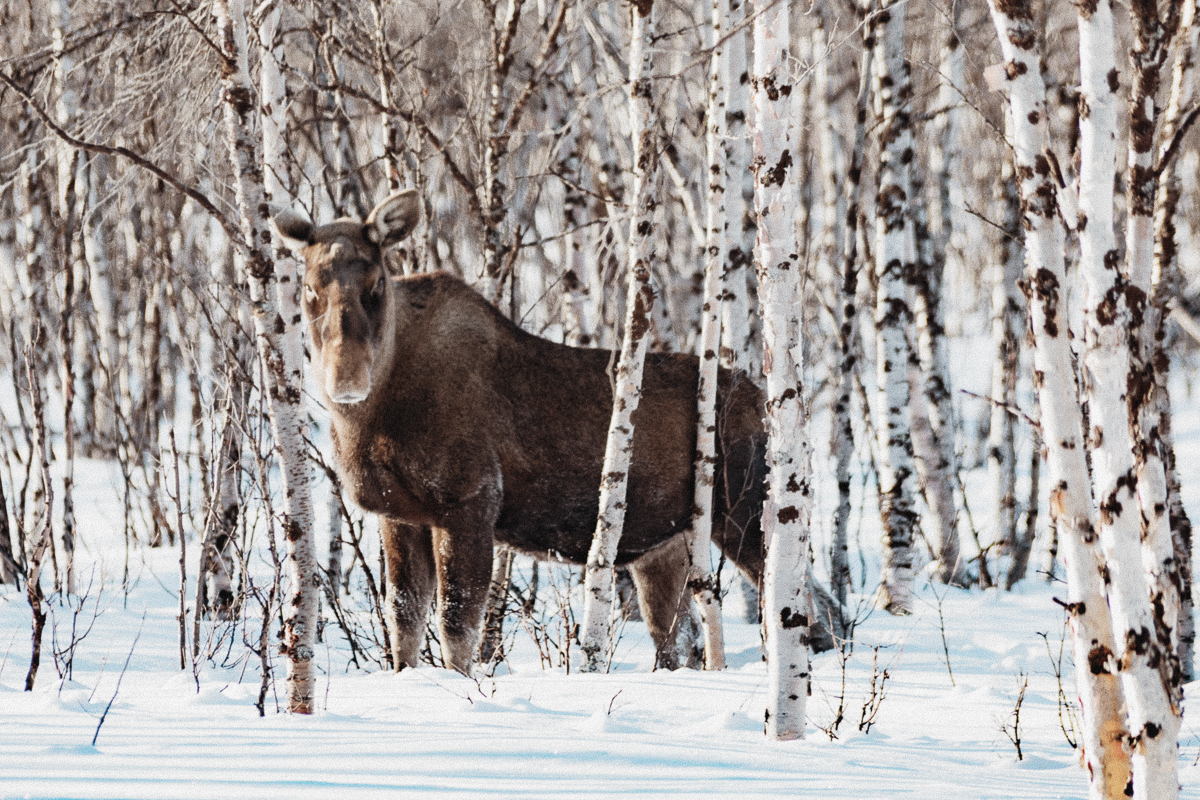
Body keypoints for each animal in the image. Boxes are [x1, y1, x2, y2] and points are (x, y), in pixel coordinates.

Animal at [274, 190, 840, 671]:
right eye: (309, 290)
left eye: (375, 286)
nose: (346, 378)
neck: (373, 421)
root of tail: (766, 402)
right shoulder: (401, 514)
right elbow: (404, 622)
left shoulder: (470, 501)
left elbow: (457, 628)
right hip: (667, 547)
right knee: (683, 636)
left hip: (745, 510)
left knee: (808, 604)